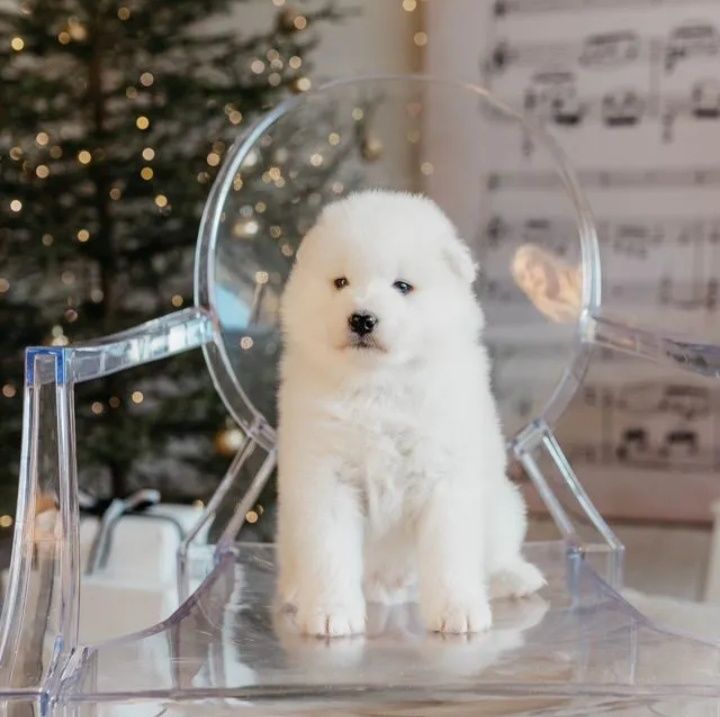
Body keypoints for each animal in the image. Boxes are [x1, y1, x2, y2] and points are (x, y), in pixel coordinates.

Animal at [278, 192, 544, 636]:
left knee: (497, 557)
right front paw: (331, 612)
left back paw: (518, 577)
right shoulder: (326, 476)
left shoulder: (445, 476)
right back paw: (297, 591)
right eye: (340, 282)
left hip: (504, 507)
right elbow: (330, 554)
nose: (362, 318)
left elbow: (450, 554)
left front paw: (459, 611)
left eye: (402, 286)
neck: (380, 386)